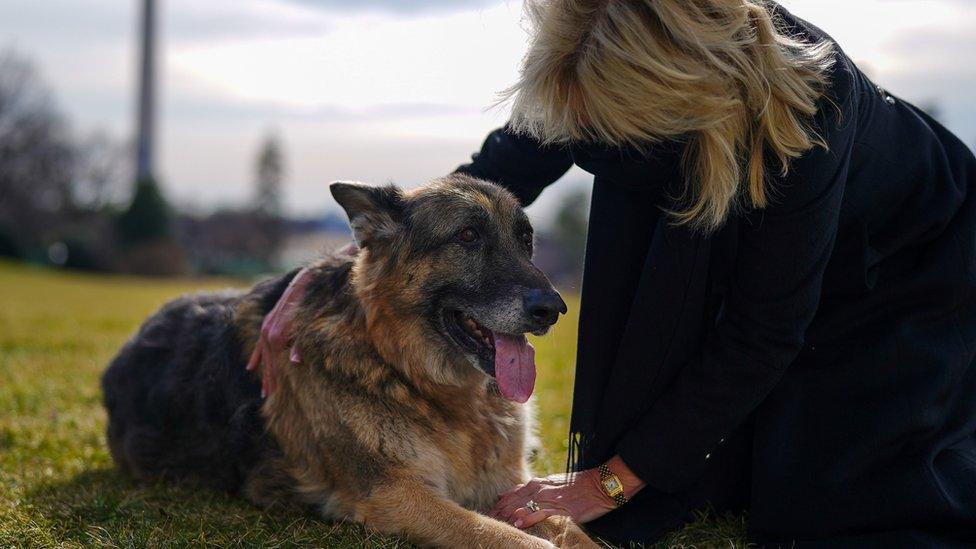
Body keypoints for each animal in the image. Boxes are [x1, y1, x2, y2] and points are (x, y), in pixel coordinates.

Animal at [103, 176, 600, 548]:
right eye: (467, 236)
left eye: (525, 239)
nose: (554, 309)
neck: (407, 372)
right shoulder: (395, 495)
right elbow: (508, 538)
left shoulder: (512, 487)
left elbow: (570, 530)